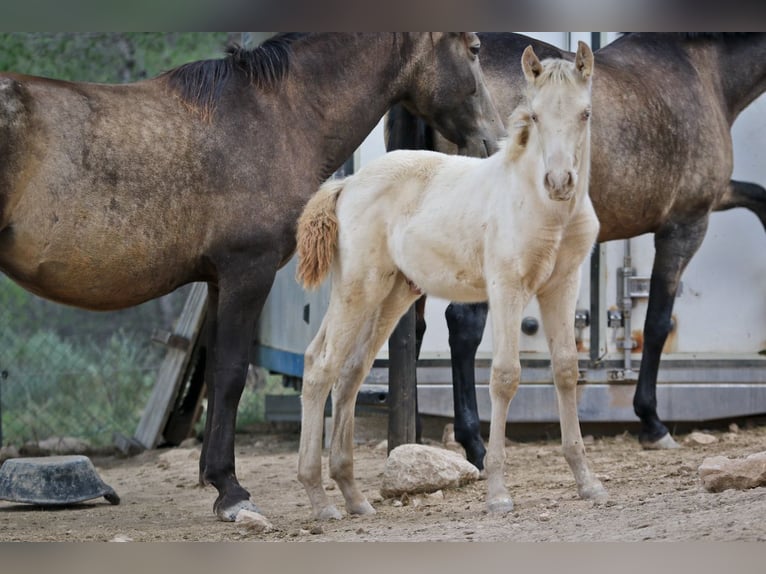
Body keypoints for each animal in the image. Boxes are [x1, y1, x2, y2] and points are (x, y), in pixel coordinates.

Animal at [0, 33, 508, 524]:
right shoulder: (248, 272)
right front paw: (231, 492)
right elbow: (230, 376)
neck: (277, 116)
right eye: (474, 48)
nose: (496, 141)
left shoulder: (219, 281)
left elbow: (220, 378)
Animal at [388, 31, 766, 470]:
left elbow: (760, 197)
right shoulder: (686, 224)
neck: (703, 67)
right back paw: (475, 445)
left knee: (411, 328)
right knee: (463, 326)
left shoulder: (714, 200)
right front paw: (652, 423)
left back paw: (410, 438)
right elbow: (657, 323)